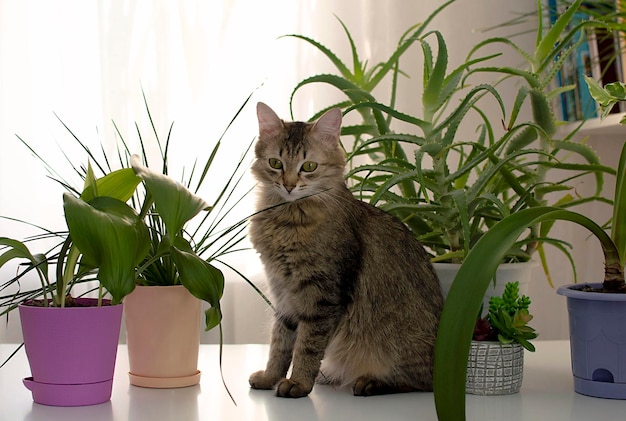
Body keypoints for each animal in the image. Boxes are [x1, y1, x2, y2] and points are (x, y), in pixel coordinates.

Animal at [246, 101, 442, 398]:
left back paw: (370, 383)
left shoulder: (323, 296)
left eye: (309, 166)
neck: (286, 219)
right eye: (275, 163)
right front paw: (270, 377)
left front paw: (298, 383)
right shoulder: (283, 293)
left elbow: (306, 347)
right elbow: (279, 343)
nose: (289, 186)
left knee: (420, 383)